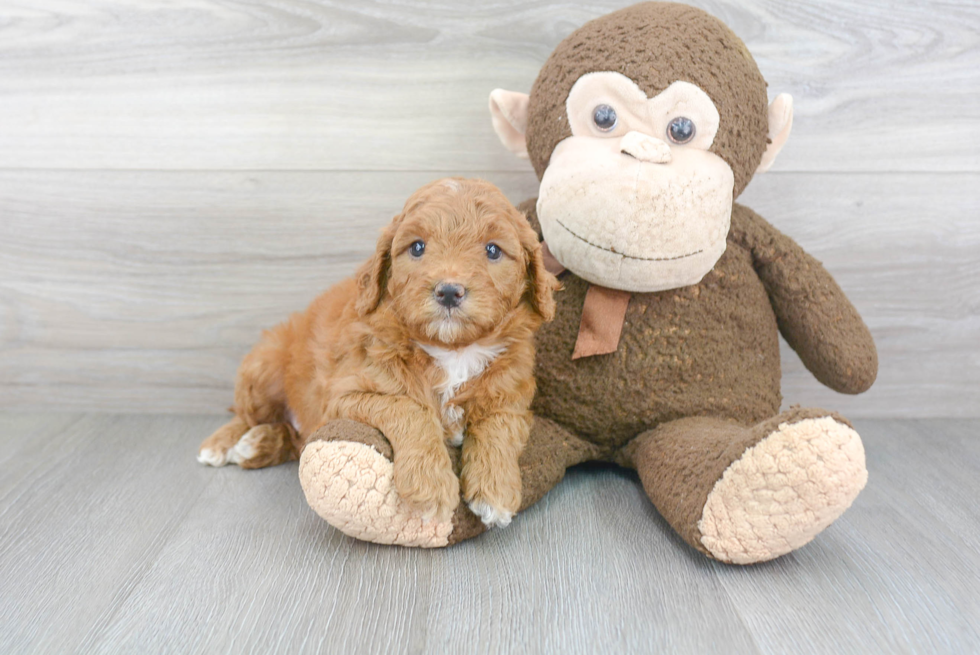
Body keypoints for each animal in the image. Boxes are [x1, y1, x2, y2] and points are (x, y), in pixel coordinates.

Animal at [195, 177, 560, 524]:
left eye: (493, 250)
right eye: (417, 247)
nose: (448, 292)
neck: (453, 351)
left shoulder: (511, 396)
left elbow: (499, 428)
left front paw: (495, 492)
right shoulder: (344, 394)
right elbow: (409, 407)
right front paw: (430, 485)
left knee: (293, 437)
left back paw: (256, 445)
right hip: (264, 366)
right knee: (246, 414)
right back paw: (223, 444)